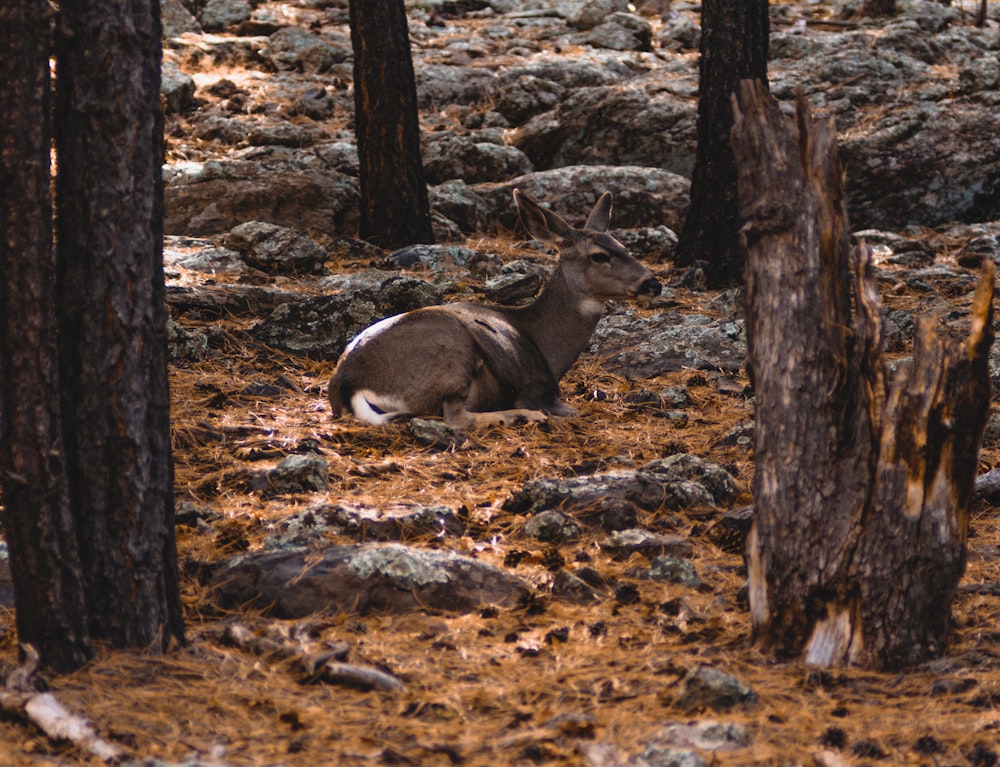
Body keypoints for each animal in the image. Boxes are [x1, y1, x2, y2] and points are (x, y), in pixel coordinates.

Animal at [328, 189, 664, 428]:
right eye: (598, 256)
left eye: (623, 246)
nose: (653, 284)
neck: (546, 347)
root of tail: (348, 383)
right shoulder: (539, 390)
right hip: (451, 354)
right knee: (456, 418)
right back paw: (521, 416)